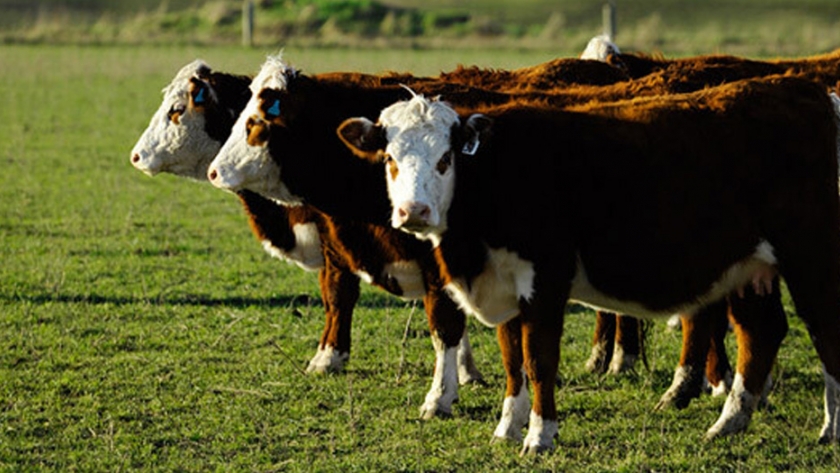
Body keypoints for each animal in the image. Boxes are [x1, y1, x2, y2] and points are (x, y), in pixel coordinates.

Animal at [338, 75, 840, 452]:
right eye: (389, 158)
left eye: (445, 158)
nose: (414, 212)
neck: (496, 175)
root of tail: (810, 92)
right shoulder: (506, 282)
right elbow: (513, 361)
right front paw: (507, 428)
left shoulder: (545, 280)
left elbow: (539, 359)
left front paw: (540, 435)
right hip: (750, 267)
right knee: (761, 331)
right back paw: (728, 422)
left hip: (812, 258)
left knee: (825, 332)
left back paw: (829, 430)